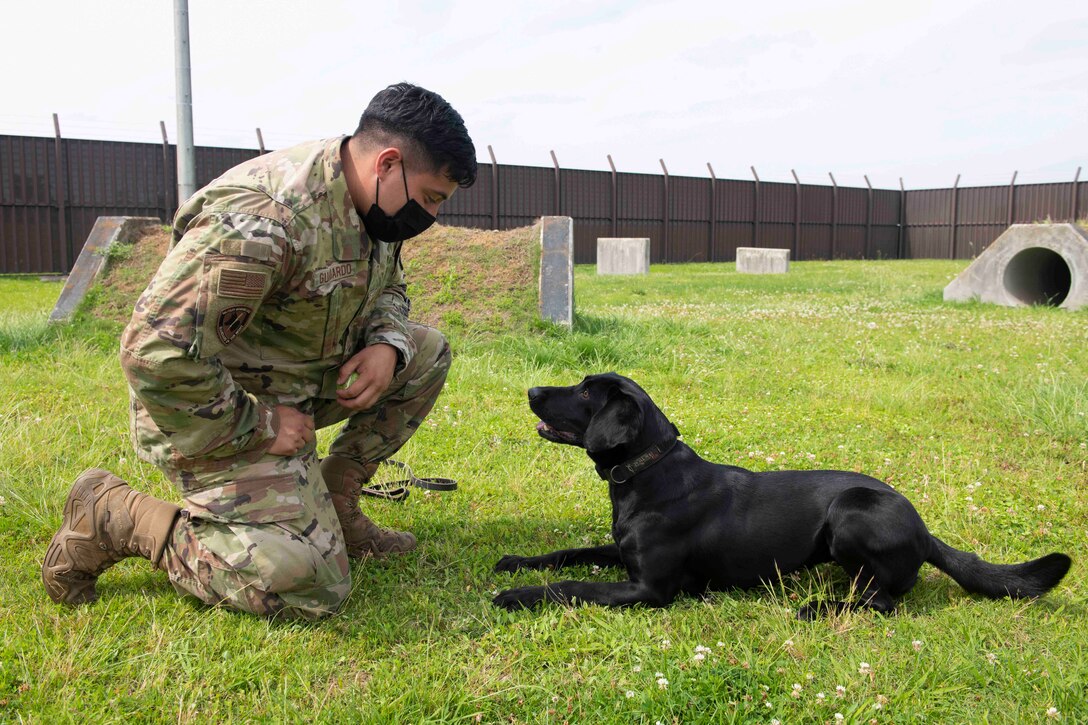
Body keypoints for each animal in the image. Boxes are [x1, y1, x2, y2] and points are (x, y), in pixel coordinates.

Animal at [493, 372, 1070, 613]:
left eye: (585, 392)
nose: (531, 389)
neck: (647, 471)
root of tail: (926, 532)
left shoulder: (651, 590)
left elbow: (573, 585)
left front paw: (518, 597)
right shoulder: (620, 553)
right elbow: (570, 553)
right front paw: (517, 564)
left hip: (851, 512)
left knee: (883, 601)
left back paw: (817, 608)